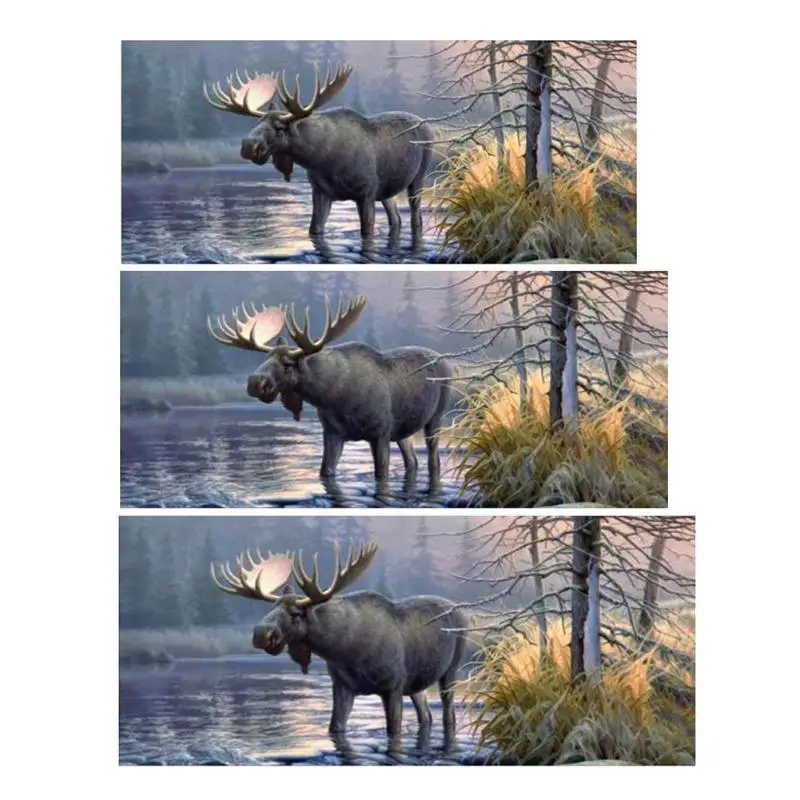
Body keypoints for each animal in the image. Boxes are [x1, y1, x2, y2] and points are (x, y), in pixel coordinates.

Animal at [202, 64, 433, 239]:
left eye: (279, 127)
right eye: (258, 122)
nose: (248, 146)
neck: (322, 158)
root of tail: (427, 124)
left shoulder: (366, 193)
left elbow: (366, 232)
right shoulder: (321, 192)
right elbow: (314, 229)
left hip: (417, 178)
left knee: (416, 216)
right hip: (386, 189)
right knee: (396, 219)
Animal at [207, 295, 452, 487]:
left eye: (287, 363)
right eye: (265, 358)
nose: (255, 382)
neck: (333, 397)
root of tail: (447, 361)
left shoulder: (380, 433)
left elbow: (380, 475)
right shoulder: (332, 433)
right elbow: (325, 472)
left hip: (435, 417)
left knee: (433, 459)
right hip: (404, 429)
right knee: (412, 461)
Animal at [211, 540, 467, 746]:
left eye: (295, 614)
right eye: (272, 607)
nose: (261, 633)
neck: (344, 650)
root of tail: (460, 609)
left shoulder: (393, 687)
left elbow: (393, 731)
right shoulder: (342, 686)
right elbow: (334, 728)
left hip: (450, 669)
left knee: (448, 713)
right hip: (417, 683)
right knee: (426, 716)